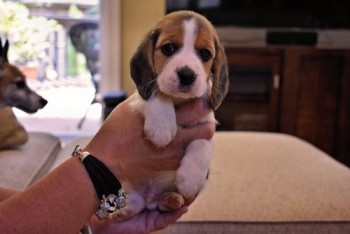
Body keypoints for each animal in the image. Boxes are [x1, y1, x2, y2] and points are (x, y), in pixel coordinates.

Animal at [113, 10, 230, 220]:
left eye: (205, 53)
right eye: (168, 48)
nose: (187, 75)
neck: (178, 102)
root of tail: (150, 198)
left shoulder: (207, 125)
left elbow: (202, 144)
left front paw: (191, 178)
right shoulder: (137, 98)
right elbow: (158, 92)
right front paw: (161, 127)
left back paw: (170, 199)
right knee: (134, 199)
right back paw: (123, 210)